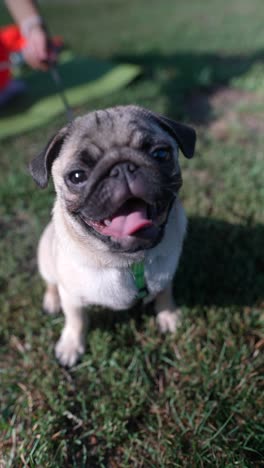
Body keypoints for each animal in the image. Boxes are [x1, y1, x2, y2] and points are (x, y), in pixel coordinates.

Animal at [29, 105, 196, 366]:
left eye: (161, 154)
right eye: (77, 176)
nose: (122, 168)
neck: (129, 261)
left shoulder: (166, 276)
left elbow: (164, 295)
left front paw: (169, 316)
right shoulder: (72, 297)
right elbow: (76, 320)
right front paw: (71, 346)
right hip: (46, 256)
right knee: (50, 283)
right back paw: (51, 301)